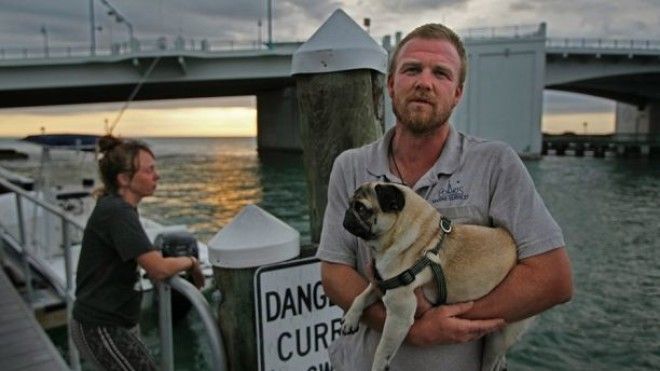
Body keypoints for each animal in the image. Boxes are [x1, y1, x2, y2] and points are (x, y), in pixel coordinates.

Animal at [340, 182, 532, 371]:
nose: (347, 213)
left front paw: (378, 364)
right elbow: (361, 296)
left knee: (493, 357)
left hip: (500, 337)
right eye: (351, 204)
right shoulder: (380, 283)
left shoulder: (399, 313)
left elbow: (382, 350)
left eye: (361, 208)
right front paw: (350, 318)